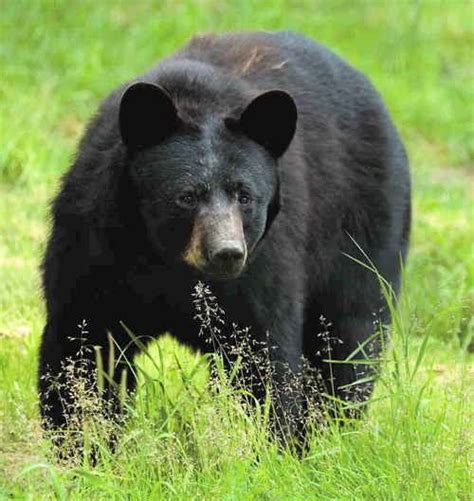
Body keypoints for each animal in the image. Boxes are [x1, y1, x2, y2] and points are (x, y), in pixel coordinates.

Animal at [39, 31, 412, 444]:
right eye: (186, 196)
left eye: (245, 195)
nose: (226, 253)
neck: (165, 261)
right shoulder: (95, 244)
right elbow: (83, 345)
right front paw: (83, 445)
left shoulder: (263, 265)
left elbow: (265, 357)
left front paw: (279, 445)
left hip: (362, 229)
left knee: (351, 337)